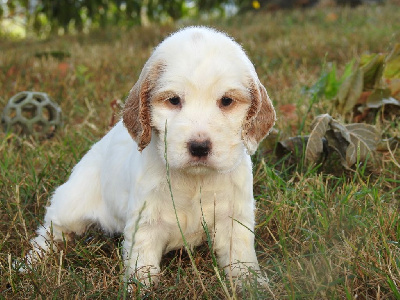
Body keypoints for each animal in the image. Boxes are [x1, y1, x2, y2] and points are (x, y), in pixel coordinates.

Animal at [24, 27, 276, 288]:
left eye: (226, 101)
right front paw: (140, 286)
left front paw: (251, 282)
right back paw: (30, 263)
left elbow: (239, 254)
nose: (199, 147)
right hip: (70, 205)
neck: (195, 180)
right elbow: (142, 258)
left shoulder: (234, 216)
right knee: (51, 230)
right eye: (174, 100)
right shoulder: (146, 219)